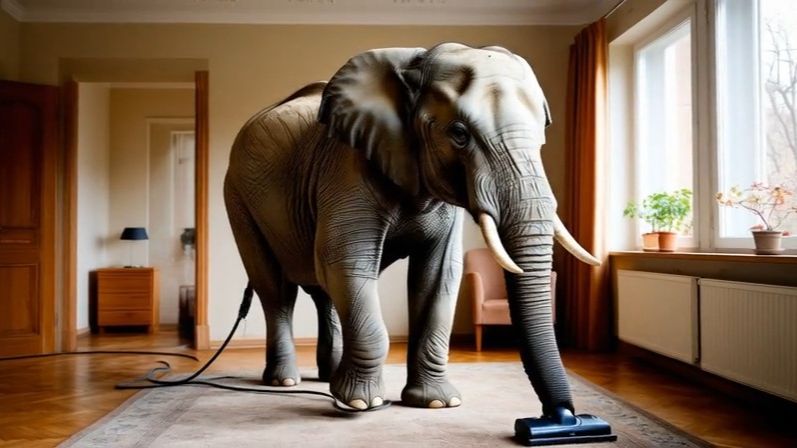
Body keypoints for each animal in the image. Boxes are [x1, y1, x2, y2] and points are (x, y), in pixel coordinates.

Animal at [224, 42, 599, 413]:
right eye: (459, 134)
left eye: (543, 132)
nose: (562, 415)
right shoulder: (347, 168)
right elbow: (346, 262)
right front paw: (362, 403)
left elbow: (438, 274)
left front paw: (436, 403)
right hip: (238, 198)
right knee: (277, 291)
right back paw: (285, 381)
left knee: (322, 290)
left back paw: (326, 378)